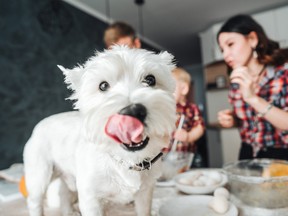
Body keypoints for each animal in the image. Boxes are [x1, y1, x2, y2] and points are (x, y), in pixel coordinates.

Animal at [23, 46, 176, 216]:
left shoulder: (145, 193)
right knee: (35, 200)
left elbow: (144, 210)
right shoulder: (91, 199)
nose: (133, 111)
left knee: (64, 192)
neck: (126, 160)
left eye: (150, 79)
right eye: (103, 86)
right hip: (40, 175)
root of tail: (38, 125)